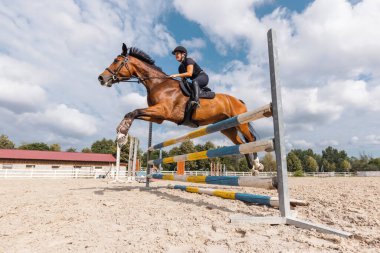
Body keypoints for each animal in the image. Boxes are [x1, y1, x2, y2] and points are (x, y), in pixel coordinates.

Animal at [98, 44, 264, 174]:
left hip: (241, 122)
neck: (158, 84)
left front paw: (122, 135)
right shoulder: (158, 117)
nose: (101, 78)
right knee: (241, 143)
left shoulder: (162, 110)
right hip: (227, 127)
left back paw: (257, 164)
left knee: (251, 139)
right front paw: (121, 135)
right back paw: (252, 167)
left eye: (116, 61)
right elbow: (133, 112)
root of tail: (238, 100)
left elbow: (134, 112)